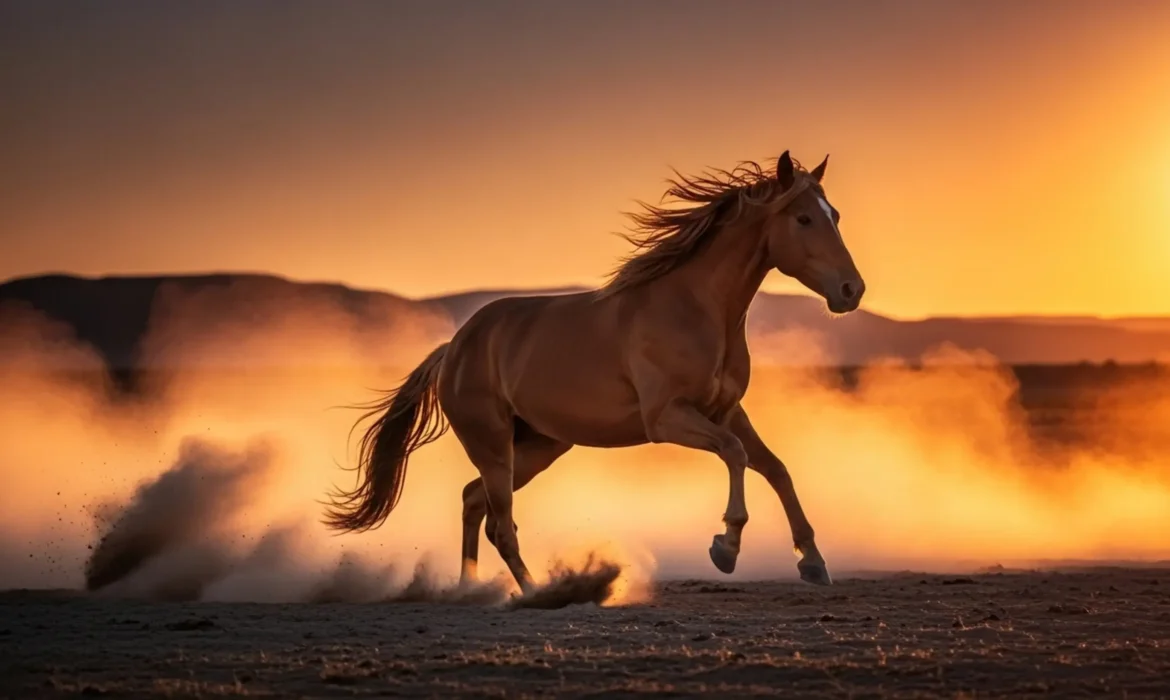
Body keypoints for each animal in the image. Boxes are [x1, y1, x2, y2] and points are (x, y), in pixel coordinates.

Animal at [323, 150, 865, 592]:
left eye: (835, 215)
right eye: (803, 218)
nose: (851, 290)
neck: (694, 308)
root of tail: (453, 350)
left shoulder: (727, 411)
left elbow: (775, 468)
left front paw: (813, 562)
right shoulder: (667, 419)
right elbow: (734, 454)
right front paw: (725, 548)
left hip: (537, 447)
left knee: (474, 502)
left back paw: (473, 590)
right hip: (494, 446)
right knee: (500, 523)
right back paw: (536, 594)